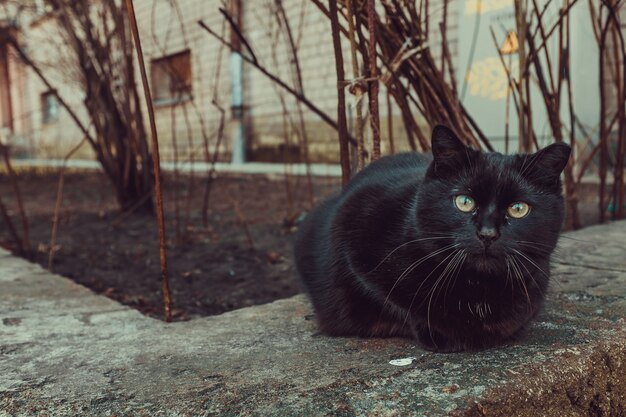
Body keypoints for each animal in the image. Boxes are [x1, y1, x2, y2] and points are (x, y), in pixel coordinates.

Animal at [294, 124, 572, 352]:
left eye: (518, 208)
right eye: (464, 201)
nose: (487, 234)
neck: (477, 287)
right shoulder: (351, 231)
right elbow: (390, 300)